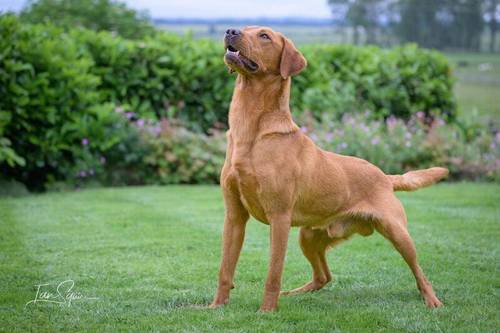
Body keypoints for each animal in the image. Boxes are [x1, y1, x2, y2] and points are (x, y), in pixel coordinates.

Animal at [209, 26, 448, 312]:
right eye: (244, 28)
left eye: (265, 36)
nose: (230, 30)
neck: (251, 132)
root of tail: (385, 176)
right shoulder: (234, 217)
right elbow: (225, 268)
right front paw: (216, 306)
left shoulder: (279, 218)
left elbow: (273, 273)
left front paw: (267, 311)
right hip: (309, 235)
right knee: (324, 276)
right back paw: (297, 292)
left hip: (397, 232)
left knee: (420, 272)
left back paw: (432, 300)